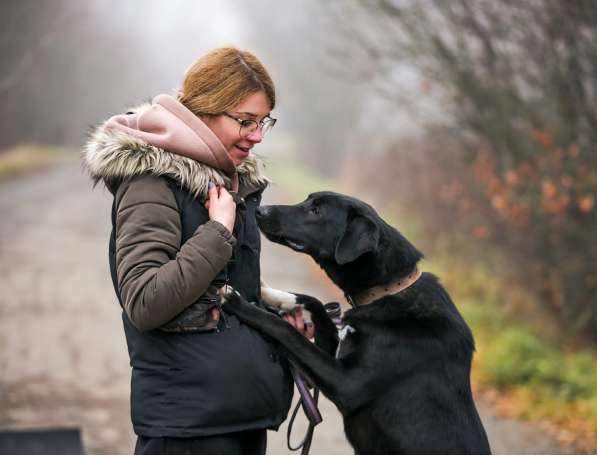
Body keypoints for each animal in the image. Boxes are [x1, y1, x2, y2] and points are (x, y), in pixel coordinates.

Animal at [224, 192, 488, 455]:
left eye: (317, 211)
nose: (261, 211)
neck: (387, 290)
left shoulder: (346, 383)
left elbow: (287, 330)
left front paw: (242, 304)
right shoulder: (331, 351)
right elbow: (313, 302)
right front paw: (273, 295)